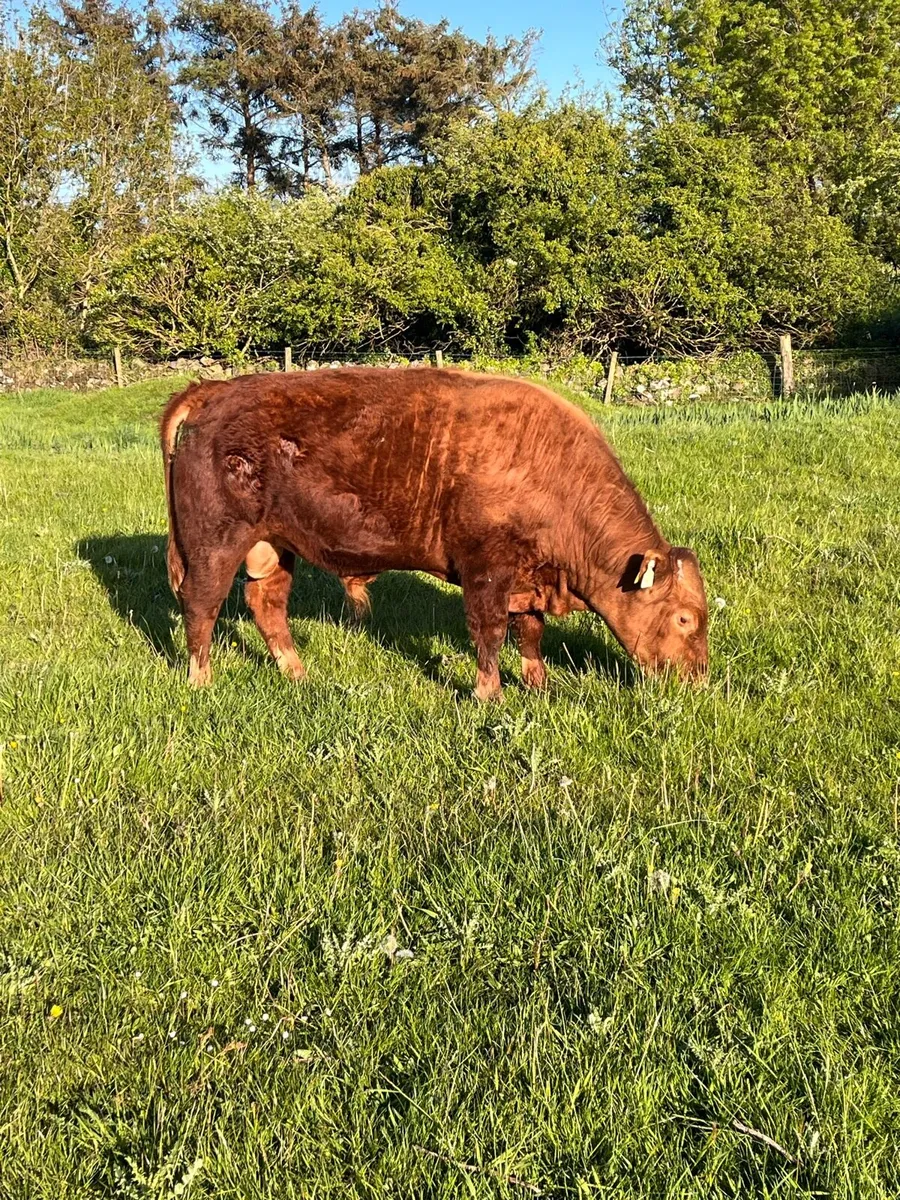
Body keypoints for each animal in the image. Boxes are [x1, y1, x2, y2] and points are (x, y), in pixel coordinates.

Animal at [160, 368, 709, 699]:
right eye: (684, 619)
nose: (698, 679)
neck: (554, 472)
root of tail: (215, 390)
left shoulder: (530, 579)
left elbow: (530, 633)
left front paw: (539, 686)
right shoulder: (486, 572)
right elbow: (489, 633)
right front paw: (490, 695)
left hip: (274, 547)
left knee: (267, 605)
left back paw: (298, 674)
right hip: (214, 545)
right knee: (201, 606)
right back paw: (201, 682)